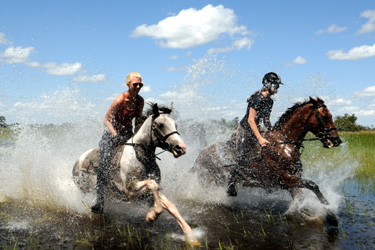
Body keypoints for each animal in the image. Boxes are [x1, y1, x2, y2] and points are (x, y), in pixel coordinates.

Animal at [192, 97, 342, 225]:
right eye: (324, 117)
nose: (337, 140)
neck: (284, 143)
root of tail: (199, 156)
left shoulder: (291, 180)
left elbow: (300, 198)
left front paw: (308, 215)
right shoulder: (283, 178)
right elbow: (312, 185)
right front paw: (331, 217)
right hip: (208, 181)